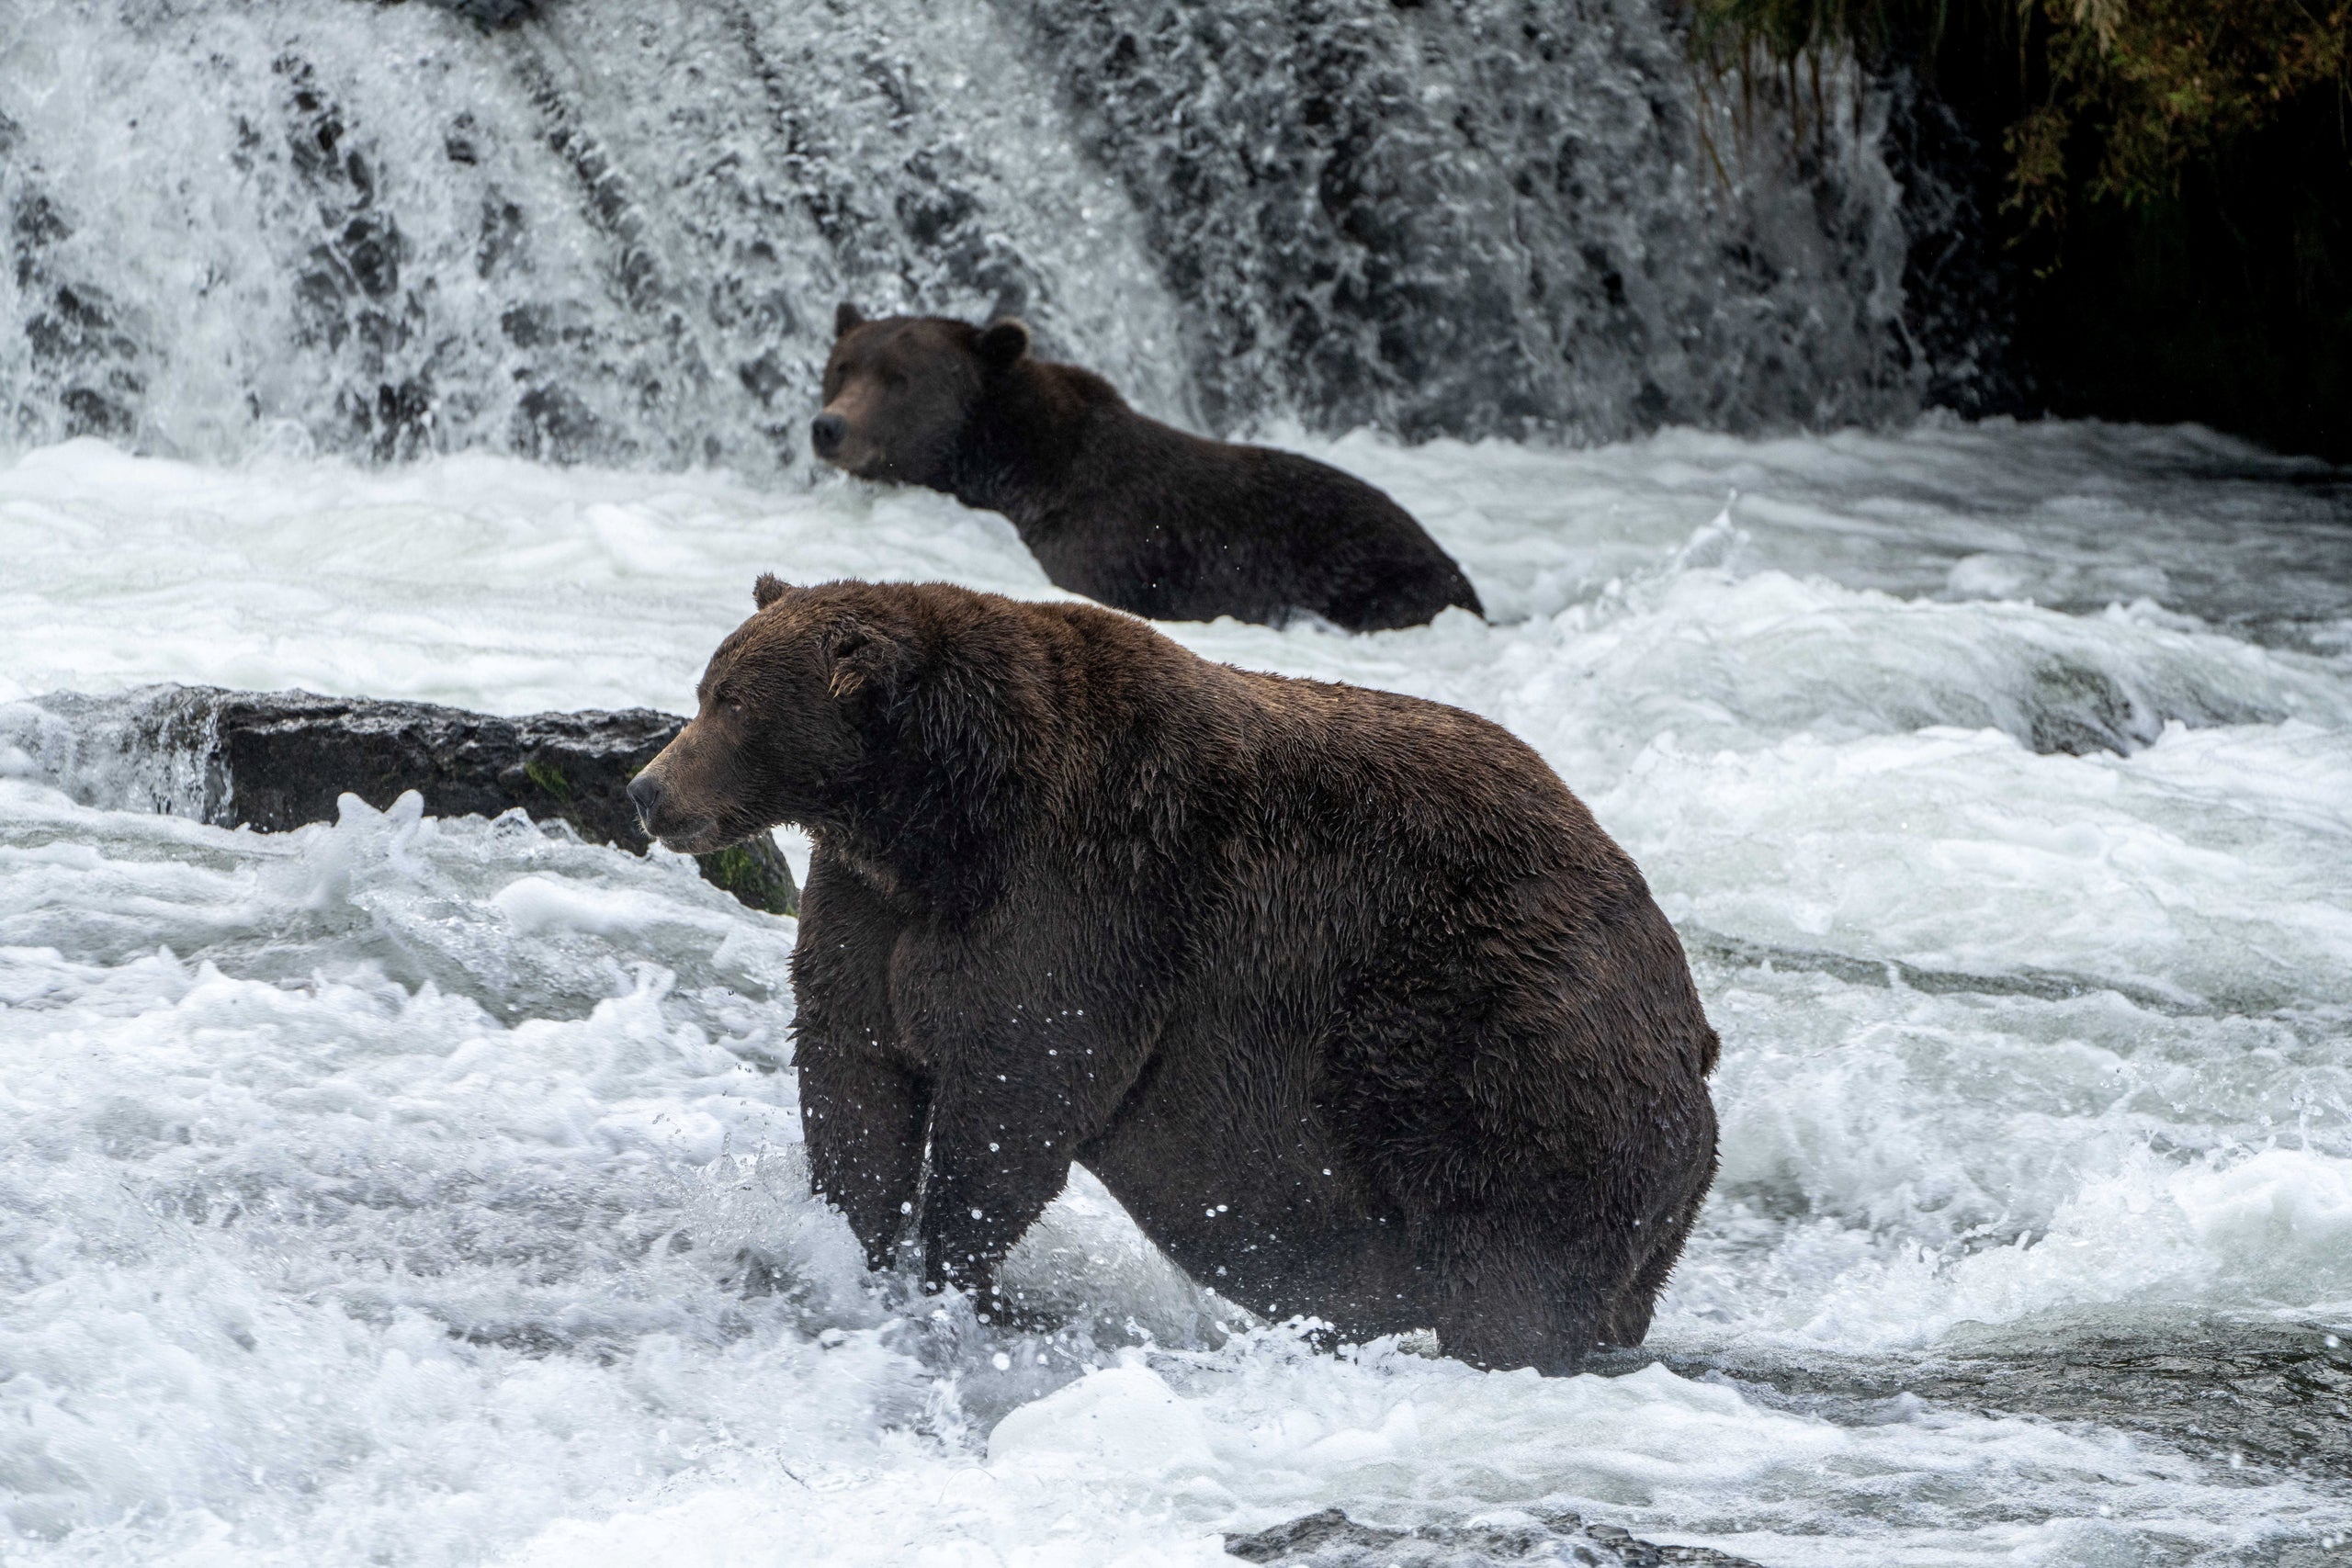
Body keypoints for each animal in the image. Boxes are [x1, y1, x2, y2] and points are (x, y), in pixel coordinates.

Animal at [635, 576, 1721, 1372]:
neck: (937, 819)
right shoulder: (872, 907)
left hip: (1506, 1047)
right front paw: (849, 1245)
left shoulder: (1085, 893)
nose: (648, 789)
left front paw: (950, 1268)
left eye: (731, 700)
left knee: (1512, 1263)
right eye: (705, 689)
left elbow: (1017, 1089)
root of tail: (1692, 1022)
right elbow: (855, 1072)